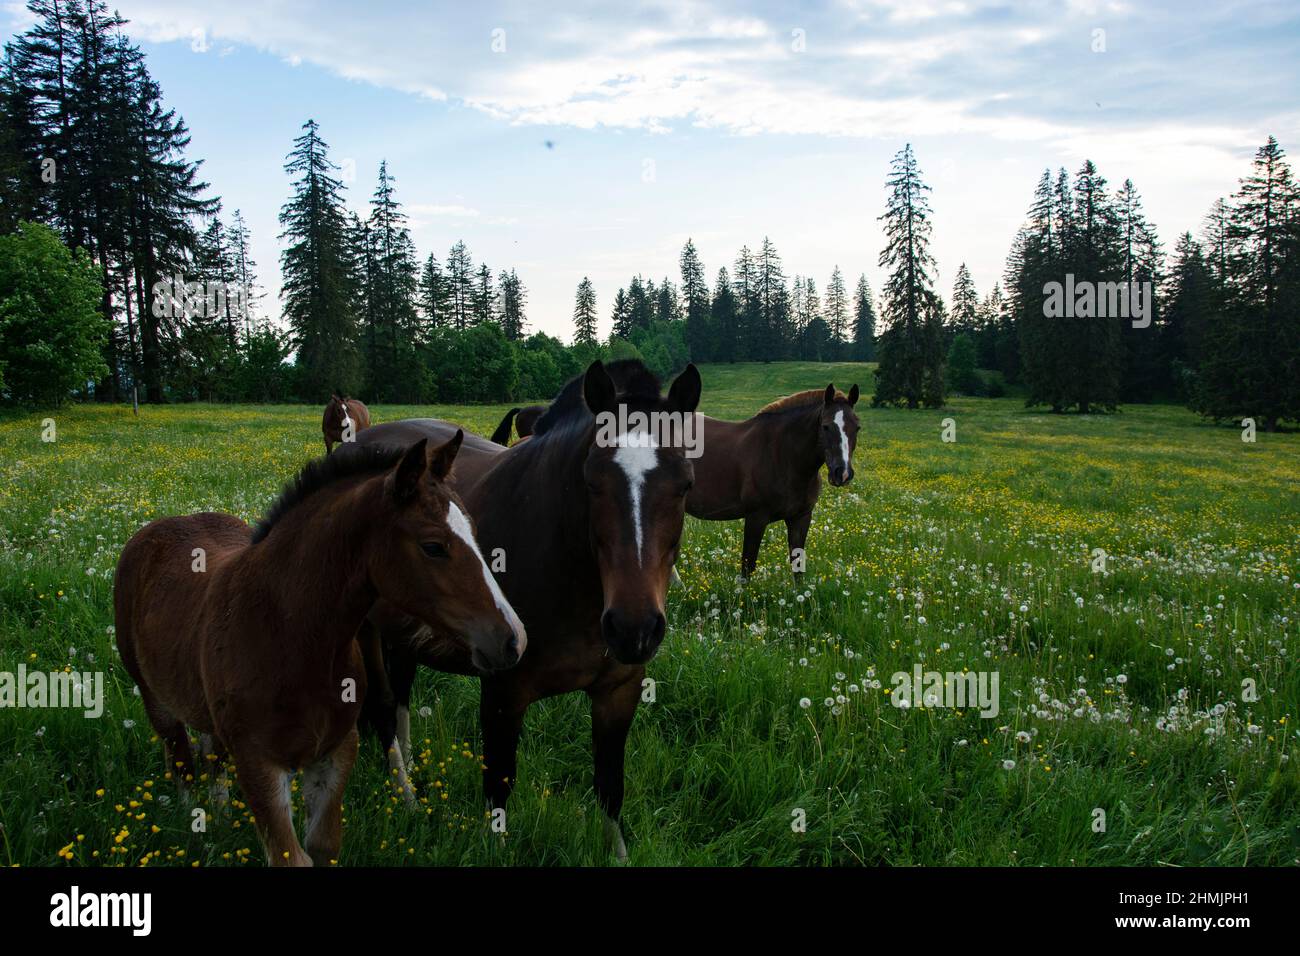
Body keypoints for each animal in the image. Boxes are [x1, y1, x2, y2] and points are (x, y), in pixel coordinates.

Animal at [111, 434, 525, 868]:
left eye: (474, 530)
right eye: (433, 546)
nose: (512, 639)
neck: (291, 640)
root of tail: (158, 527)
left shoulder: (335, 752)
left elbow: (324, 846)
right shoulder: (258, 763)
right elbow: (291, 857)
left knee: (212, 755)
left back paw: (222, 819)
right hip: (156, 699)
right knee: (182, 762)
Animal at [353, 361, 702, 858]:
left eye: (685, 484)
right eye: (591, 481)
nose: (633, 628)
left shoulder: (619, 690)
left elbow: (610, 787)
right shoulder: (503, 692)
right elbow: (499, 789)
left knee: (400, 695)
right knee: (383, 708)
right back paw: (406, 798)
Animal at [686, 385, 857, 580]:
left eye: (857, 427)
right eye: (826, 426)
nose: (843, 473)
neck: (782, 455)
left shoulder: (801, 517)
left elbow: (798, 566)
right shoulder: (756, 518)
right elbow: (748, 567)